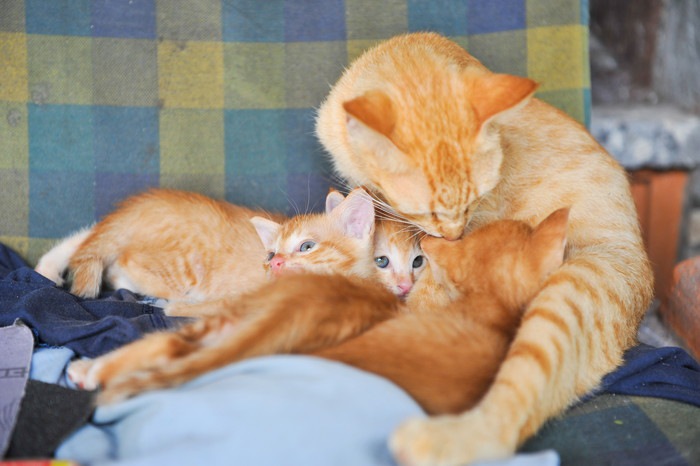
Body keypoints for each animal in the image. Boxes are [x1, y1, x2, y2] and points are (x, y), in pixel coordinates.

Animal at [314, 31, 652, 464]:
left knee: (508, 418)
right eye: (426, 209)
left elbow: (425, 283)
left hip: (567, 299)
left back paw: (431, 441)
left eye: (475, 199)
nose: (453, 234)